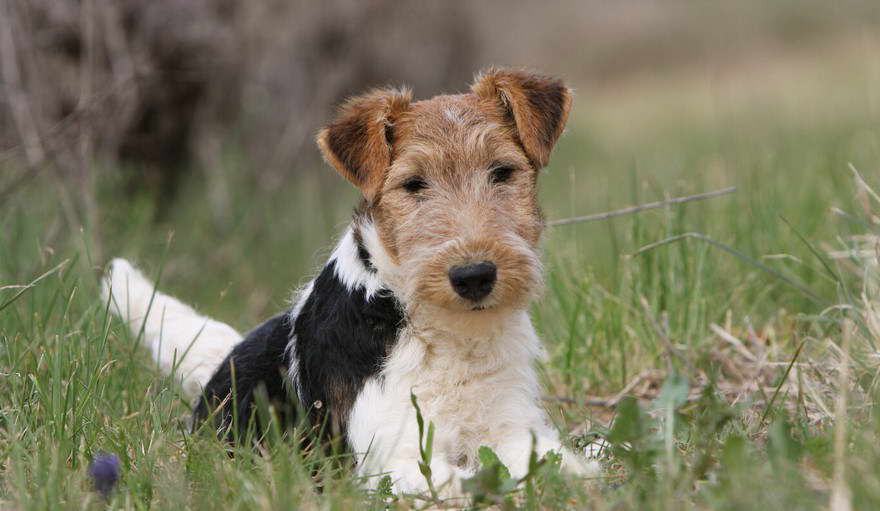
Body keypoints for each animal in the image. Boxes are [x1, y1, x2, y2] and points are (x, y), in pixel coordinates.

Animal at [103, 67, 600, 496]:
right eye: (413, 184)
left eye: (502, 171)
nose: (473, 275)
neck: (447, 333)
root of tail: (223, 361)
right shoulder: (396, 458)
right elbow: (466, 480)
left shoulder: (512, 428)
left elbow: (549, 463)